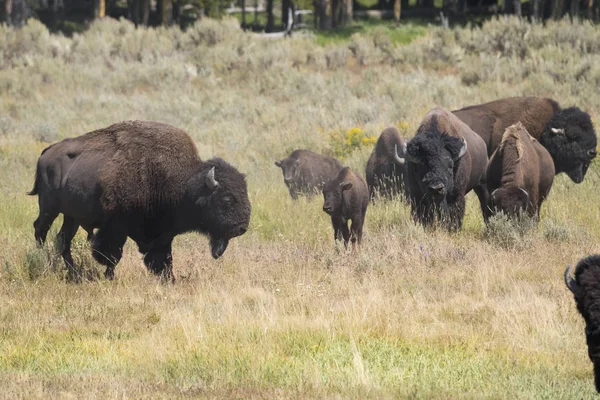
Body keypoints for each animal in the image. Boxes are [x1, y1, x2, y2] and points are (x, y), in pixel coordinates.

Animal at [29, 120, 251, 282]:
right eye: (226, 198)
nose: (241, 228)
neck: (183, 183)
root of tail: (47, 151)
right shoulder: (116, 226)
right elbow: (111, 254)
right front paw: (110, 277)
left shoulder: (162, 234)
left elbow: (164, 258)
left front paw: (169, 279)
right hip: (49, 208)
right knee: (40, 229)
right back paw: (41, 260)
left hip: (71, 216)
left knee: (62, 239)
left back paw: (73, 273)